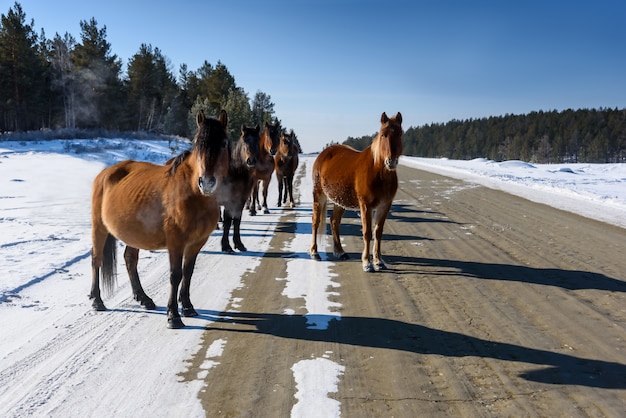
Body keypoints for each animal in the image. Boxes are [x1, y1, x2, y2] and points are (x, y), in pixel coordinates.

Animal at [89, 109, 230, 328]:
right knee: (96, 260)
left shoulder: (197, 242)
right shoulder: (176, 242)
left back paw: (144, 299)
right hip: (99, 228)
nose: (206, 182)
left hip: (134, 234)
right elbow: (175, 275)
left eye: (223, 143)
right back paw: (97, 300)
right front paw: (173, 315)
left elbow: (188, 272)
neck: (192, 194)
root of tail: (105, 173)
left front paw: (187, 307)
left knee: (130, 260)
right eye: (197, 143)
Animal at [217, 124, 260, 253]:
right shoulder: (229, 203)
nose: (251, 160)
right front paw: (226, 246)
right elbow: (227, 223)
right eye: (244, 140)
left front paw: (239, 244)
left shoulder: (240, 202)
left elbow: (237, 221)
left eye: (258, 140)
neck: (236, 173)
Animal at [308, 112, 404, 272]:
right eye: (383, 135)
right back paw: (314, 252)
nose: (391, 162)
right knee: (316, 221)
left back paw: (340, 252)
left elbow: (378, 232)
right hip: (318, 194)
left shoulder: (385, 205)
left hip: (339, 200)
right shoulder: (365, 205)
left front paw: (378, 261)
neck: (378, 172)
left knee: (334, 221)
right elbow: (367, 233)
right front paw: (366, 263)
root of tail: (323, 154)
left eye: (400, 134)